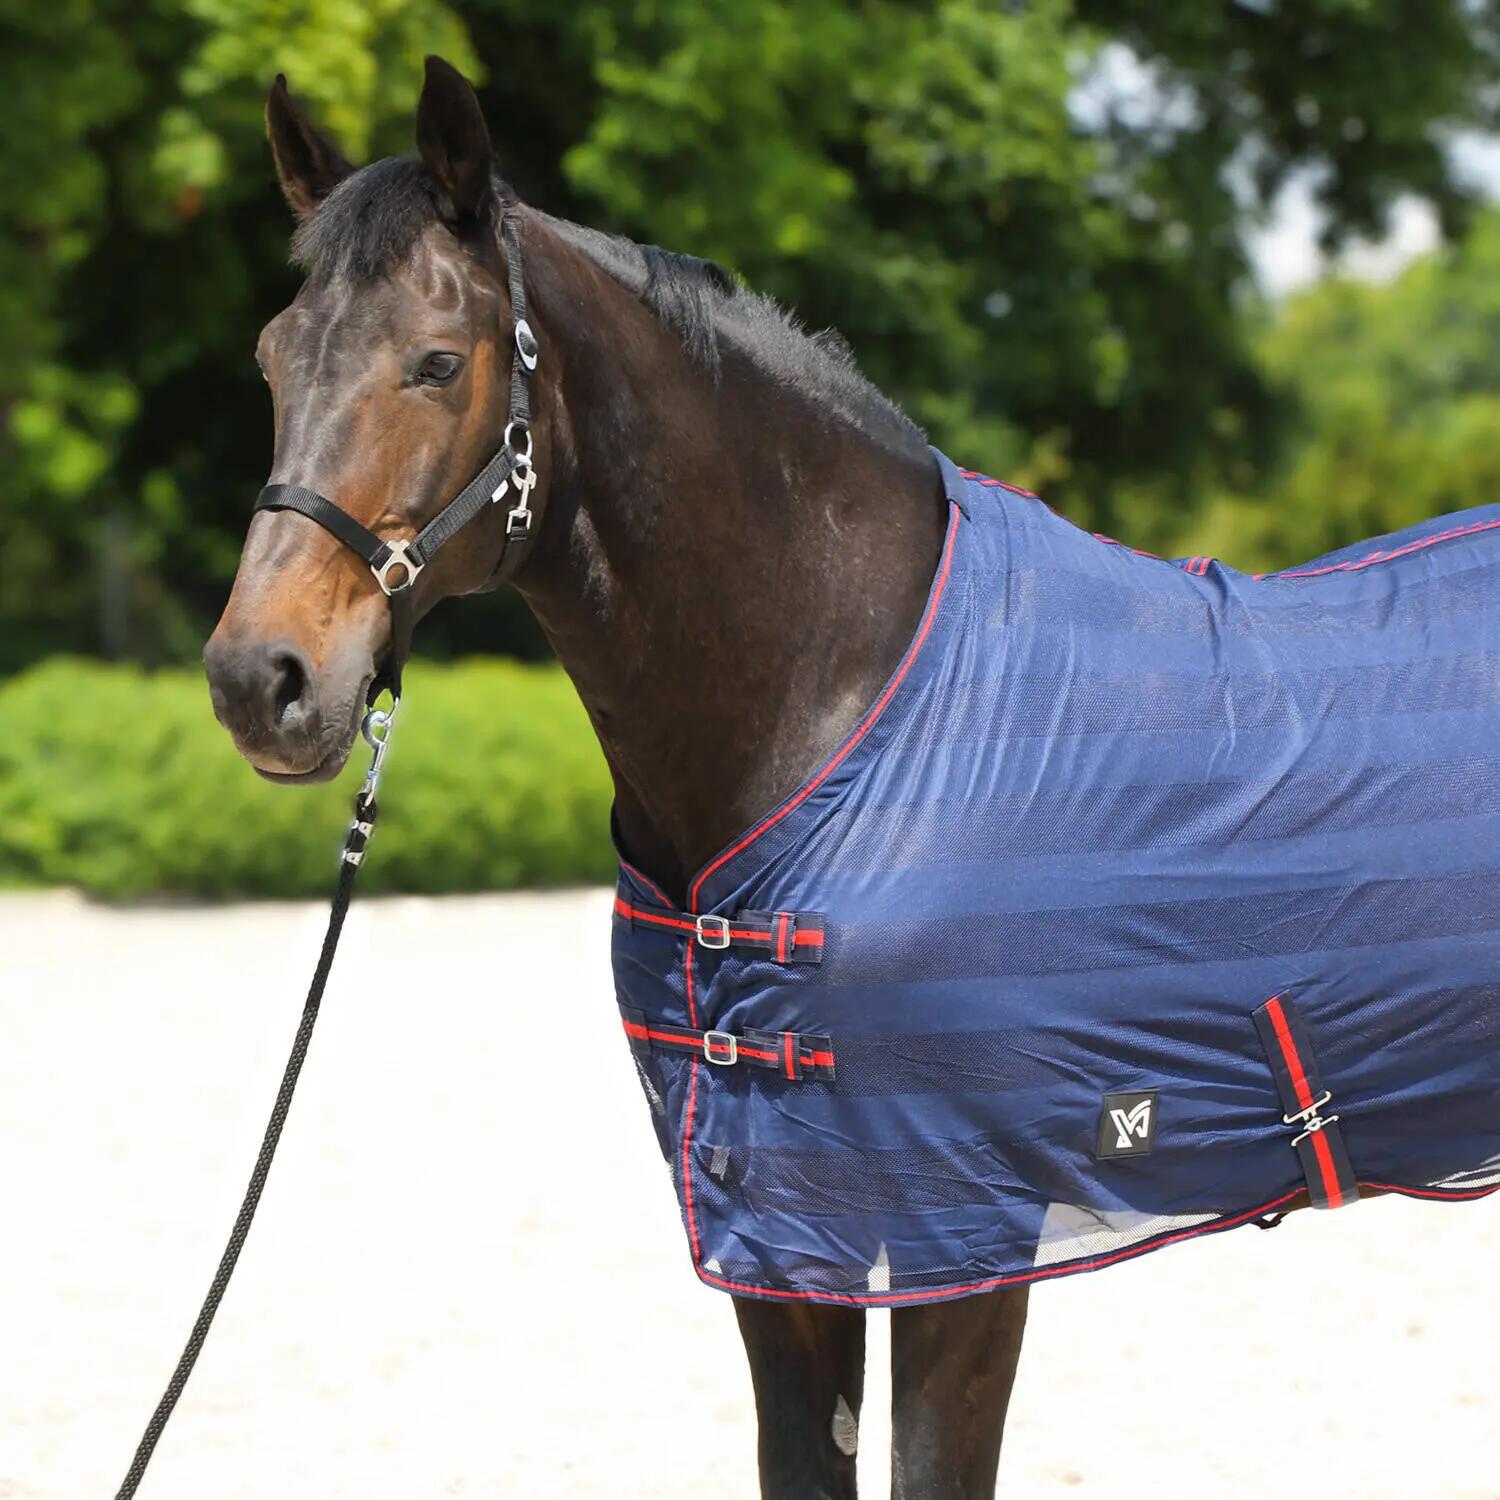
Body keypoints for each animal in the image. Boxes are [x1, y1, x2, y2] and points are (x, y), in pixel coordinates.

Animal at [204, 56, 1500, 1498]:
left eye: (438, 362)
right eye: (271, 357)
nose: (262, 678)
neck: (847, 704)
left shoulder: (961, 1236)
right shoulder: (780, 1239)